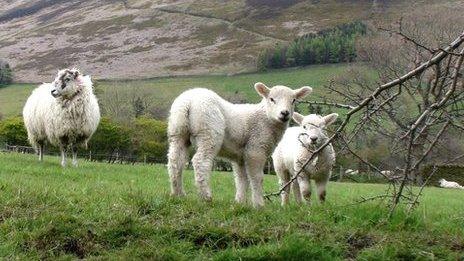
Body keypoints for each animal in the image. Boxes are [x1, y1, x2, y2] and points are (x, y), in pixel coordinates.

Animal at [167, 82, 312, 206]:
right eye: (271, 99)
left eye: (293, 100)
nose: (285, 113)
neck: (266, 118)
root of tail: (187, 101)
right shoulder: (255, 148)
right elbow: (257, 177)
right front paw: (259, 204)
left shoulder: (240, 157)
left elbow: (242, 179)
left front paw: (240, 202)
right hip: (209, 130)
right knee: (200, 162)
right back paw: (206, 197)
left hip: (178, 131)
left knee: (176, 161)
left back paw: (178, 194)